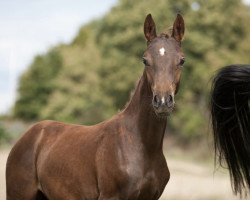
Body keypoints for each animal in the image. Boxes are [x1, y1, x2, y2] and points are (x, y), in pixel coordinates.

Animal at [5, 13, 185, 199]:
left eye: (181, 60)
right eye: (145, 60)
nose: (162, 102)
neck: (143, 147)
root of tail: (27, 136)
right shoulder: (110, 196)